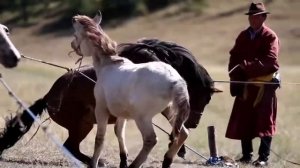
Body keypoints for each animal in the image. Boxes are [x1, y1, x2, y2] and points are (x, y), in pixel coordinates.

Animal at [71, 12, 190, 168]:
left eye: (75, 35)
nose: (73, 46)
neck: (108, 65)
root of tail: (174, 80)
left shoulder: (101, 109)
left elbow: (100, 139)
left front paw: (93, 163)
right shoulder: (122, 114)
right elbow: (119, 132)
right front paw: (123, 160)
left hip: (143, 118)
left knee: (151, 139)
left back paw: (135, 164)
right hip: (169, 111)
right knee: (183, 134)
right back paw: (166, 161)